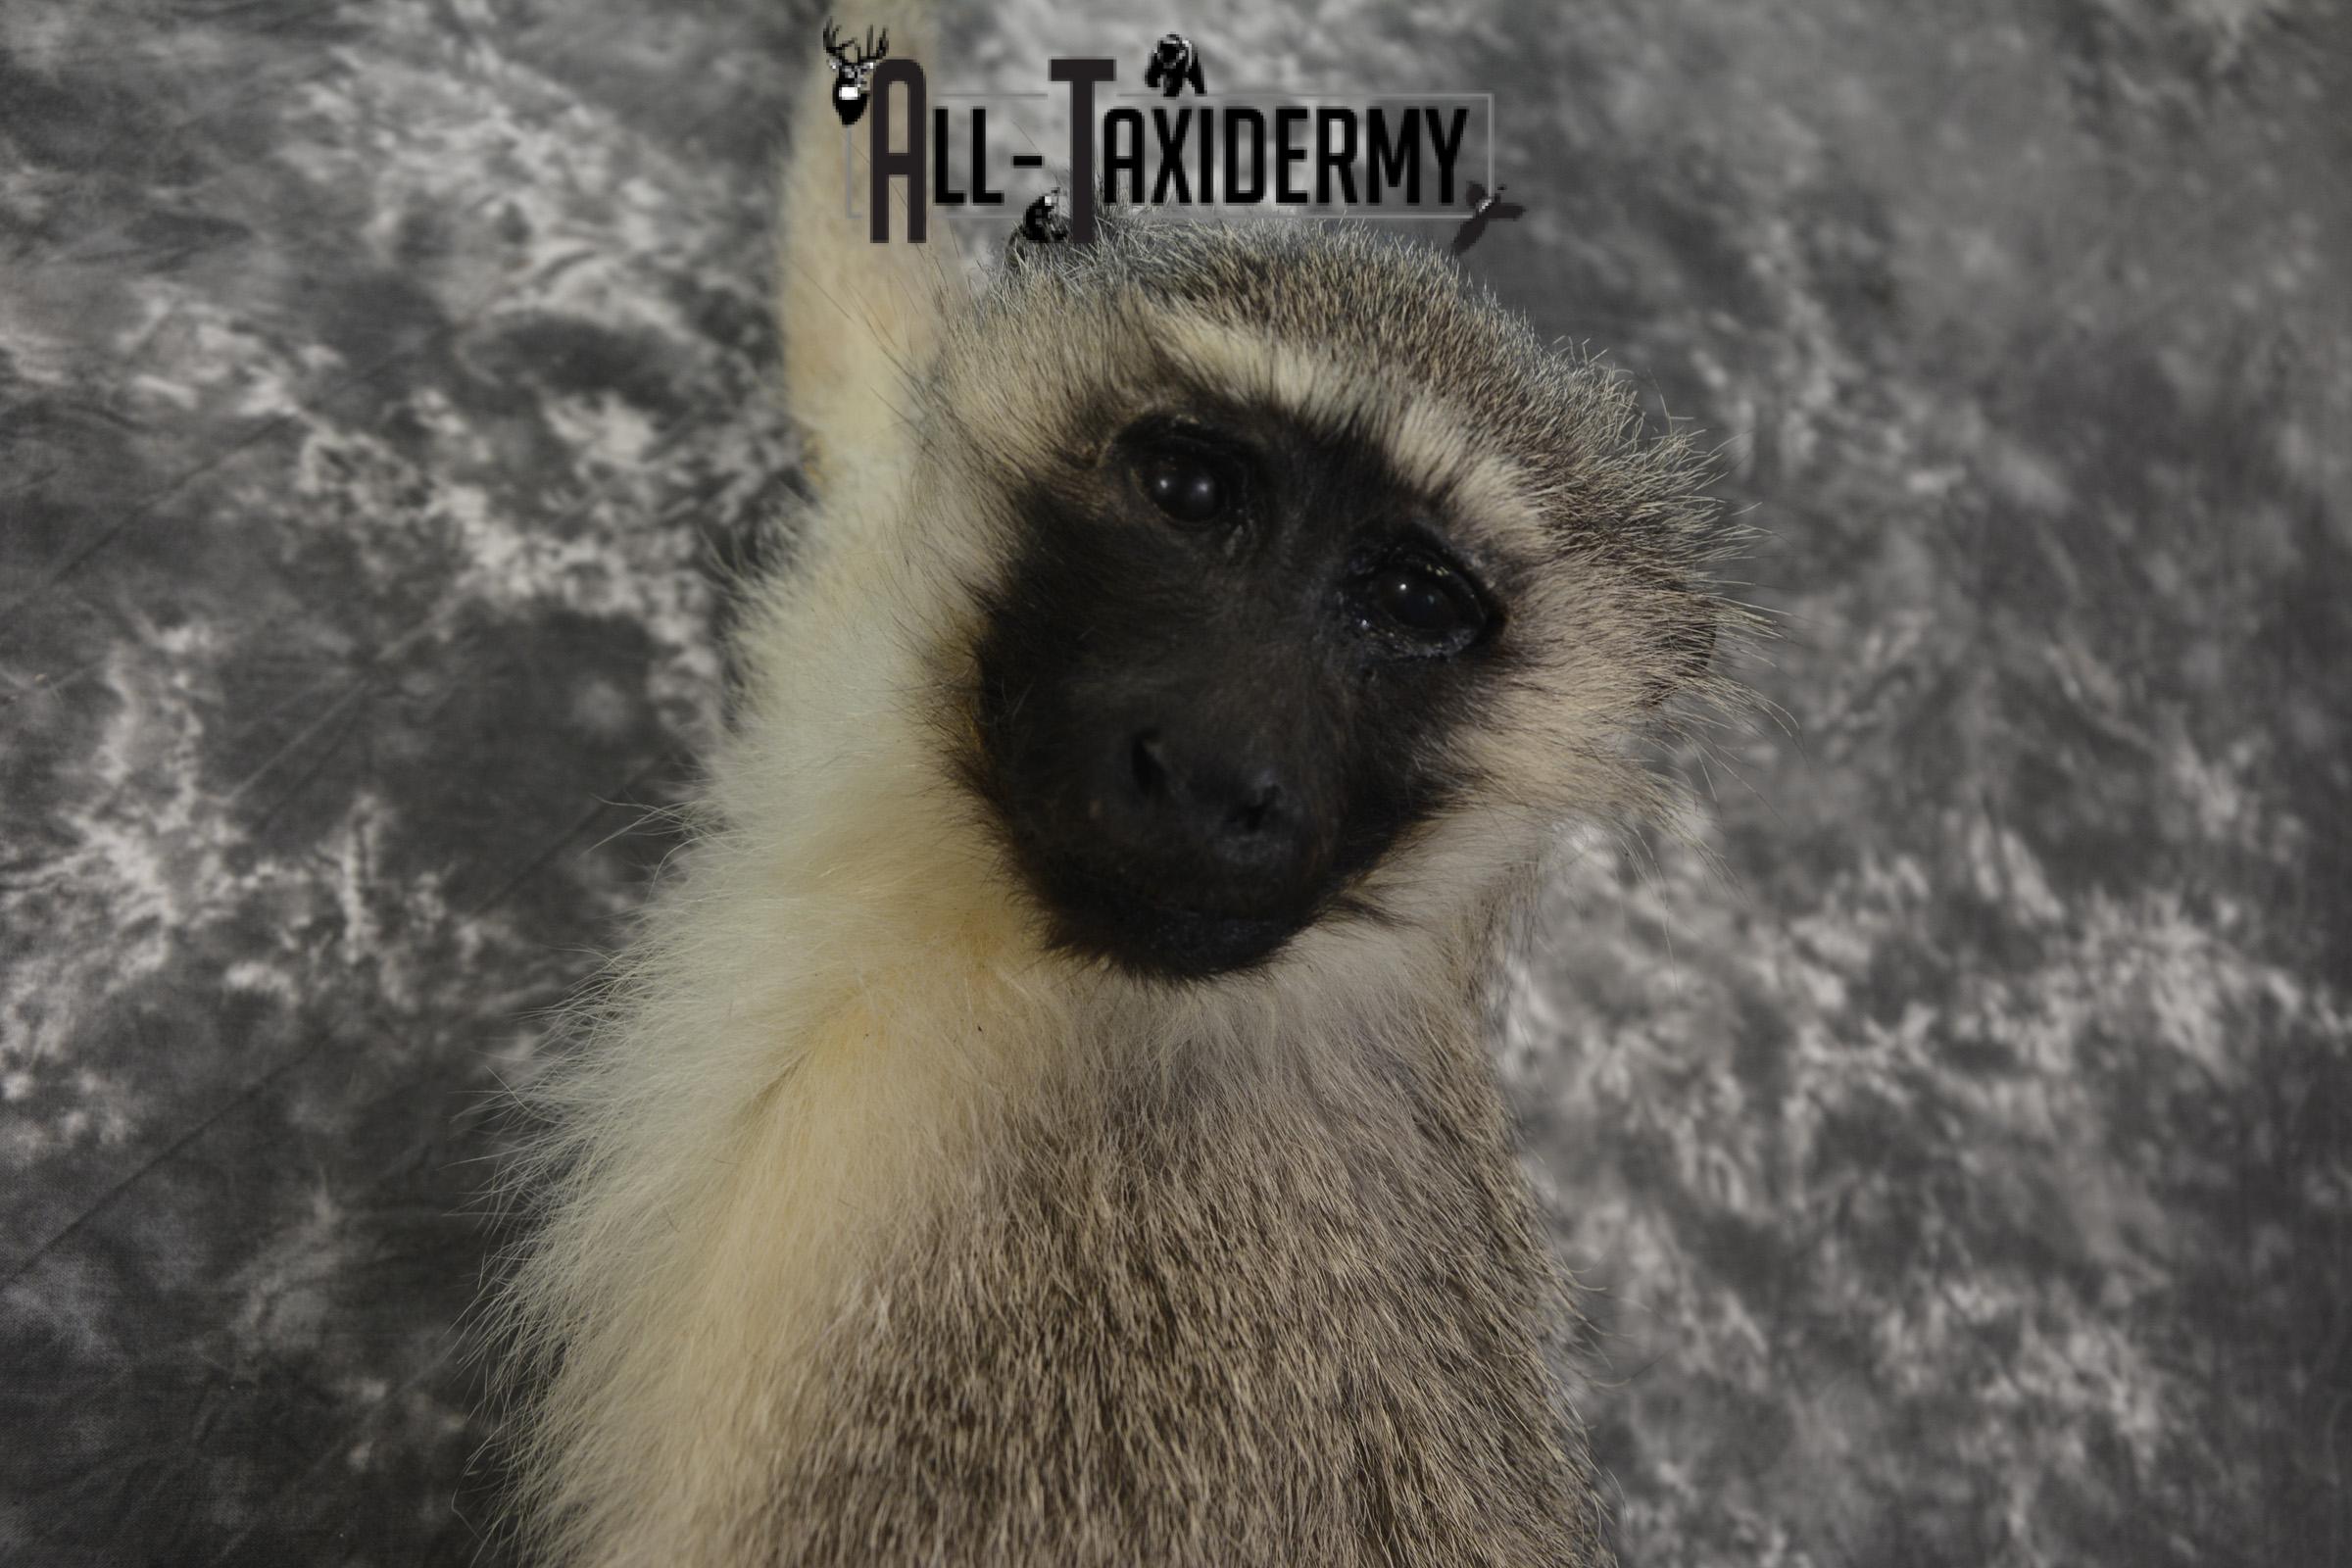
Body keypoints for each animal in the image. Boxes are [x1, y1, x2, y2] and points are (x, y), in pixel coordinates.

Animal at [487, 7, 1741, 1565]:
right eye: (1194, 494)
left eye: (1414, 604)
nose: (1210, 775)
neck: (1000, 959)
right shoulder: (889, 536)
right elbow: (870, 342)